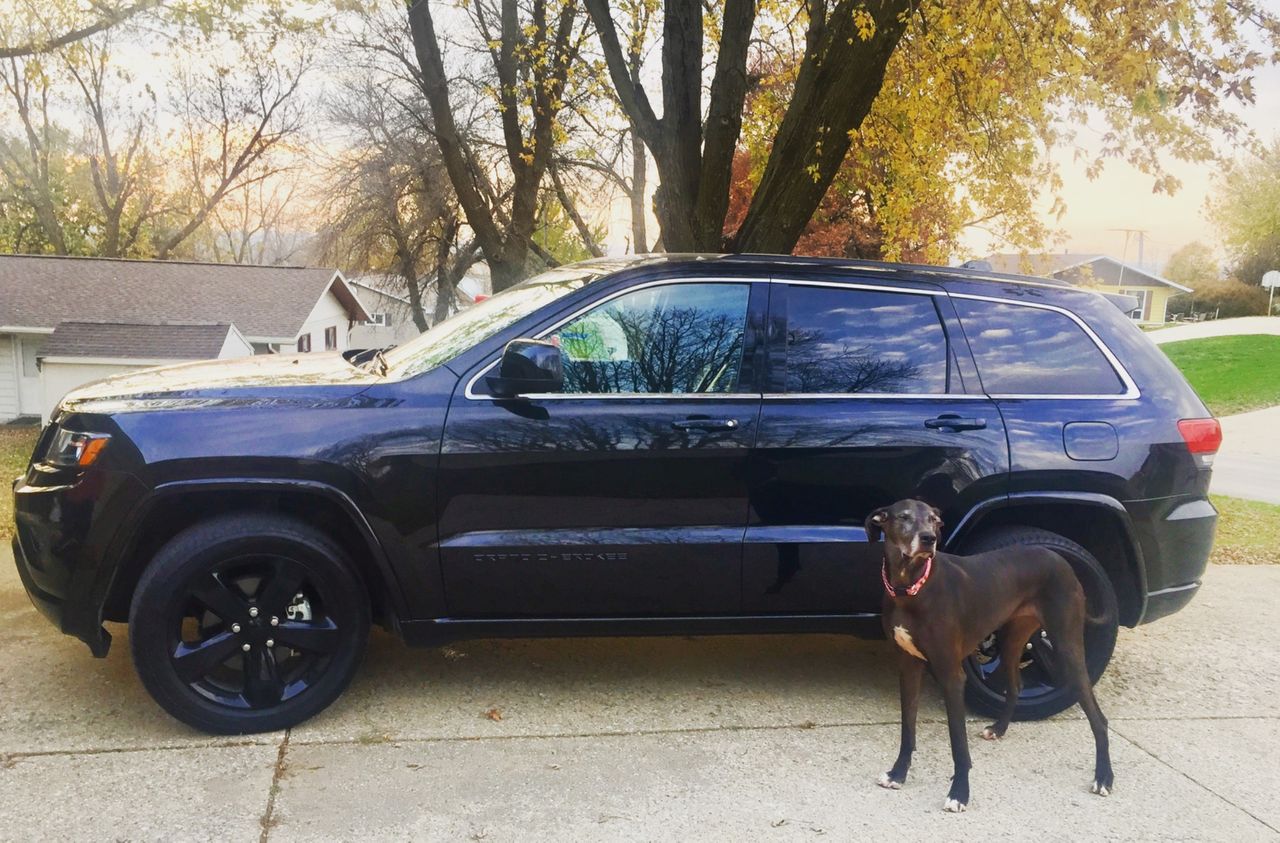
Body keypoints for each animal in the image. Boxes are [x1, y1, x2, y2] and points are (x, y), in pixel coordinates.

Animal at [870, 501, 1111, 813]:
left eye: (934, 519)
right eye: (904, 517)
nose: (928, 539)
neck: (911, 588)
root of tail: (1061, 560)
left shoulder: (951, 676)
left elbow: (958, 742)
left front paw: (959, 793)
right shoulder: (908, 667)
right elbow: (907, 729)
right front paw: (898, 773)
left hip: (1067, 646)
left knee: (1098, 718)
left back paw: (1104, 777)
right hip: (1013, 639)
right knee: (1016, 684)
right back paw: (999, 728)